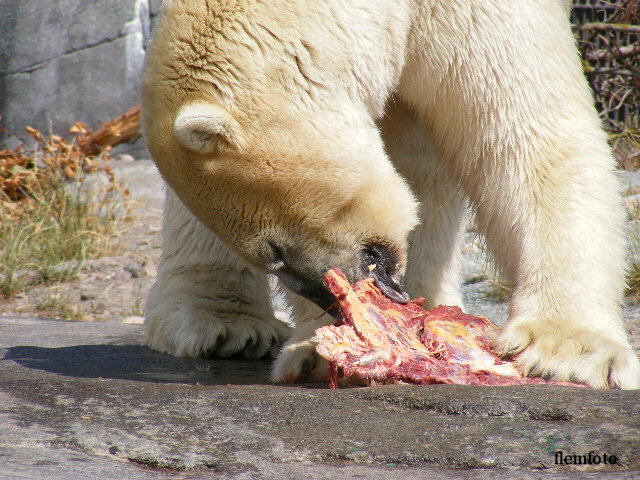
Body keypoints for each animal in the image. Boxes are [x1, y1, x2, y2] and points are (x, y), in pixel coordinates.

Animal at [142, 0, 640, 390]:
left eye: (275, 251)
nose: (329, 301)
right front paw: (319, 352)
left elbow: (525, 135)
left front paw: (566, 354)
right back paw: (224, 325)